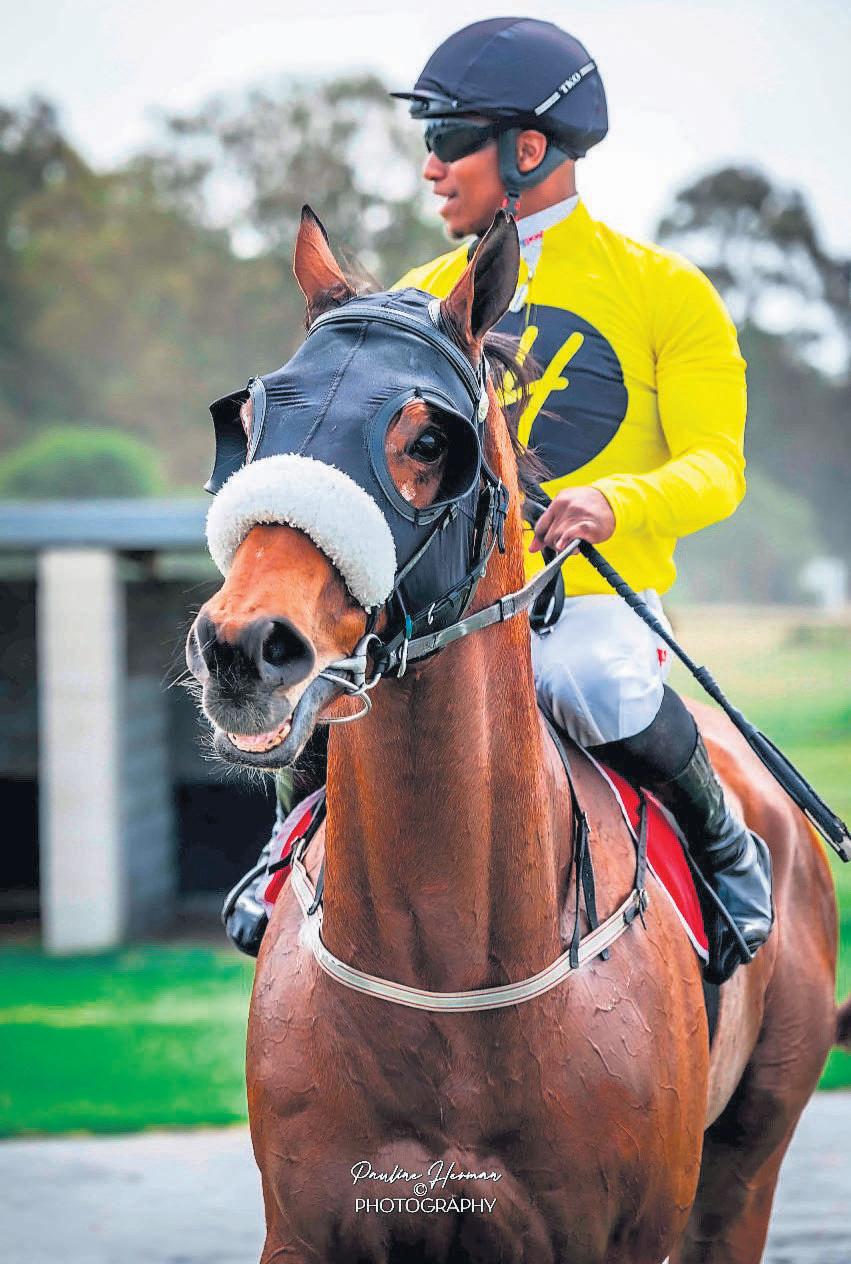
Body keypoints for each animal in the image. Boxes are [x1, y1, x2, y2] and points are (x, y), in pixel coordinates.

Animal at [186, 207, 844, 1263]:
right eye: (250, 422)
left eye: (425, 438)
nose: (244, 648)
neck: (444, 967)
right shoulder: (305, 1228)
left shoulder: (624, 1235)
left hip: (747, 1165)